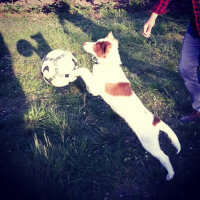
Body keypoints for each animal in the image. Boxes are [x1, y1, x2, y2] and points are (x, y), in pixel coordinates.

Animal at [70, 32, 181, 180]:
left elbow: (84, 70)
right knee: (162, 157)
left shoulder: (95, 89)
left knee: (165, 157)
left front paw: (72, 73)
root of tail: (155, 121)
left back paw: (170, 175)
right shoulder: (91, 88)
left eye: (96, 45)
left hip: (148, 143)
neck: (108, 64)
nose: (83, 43)